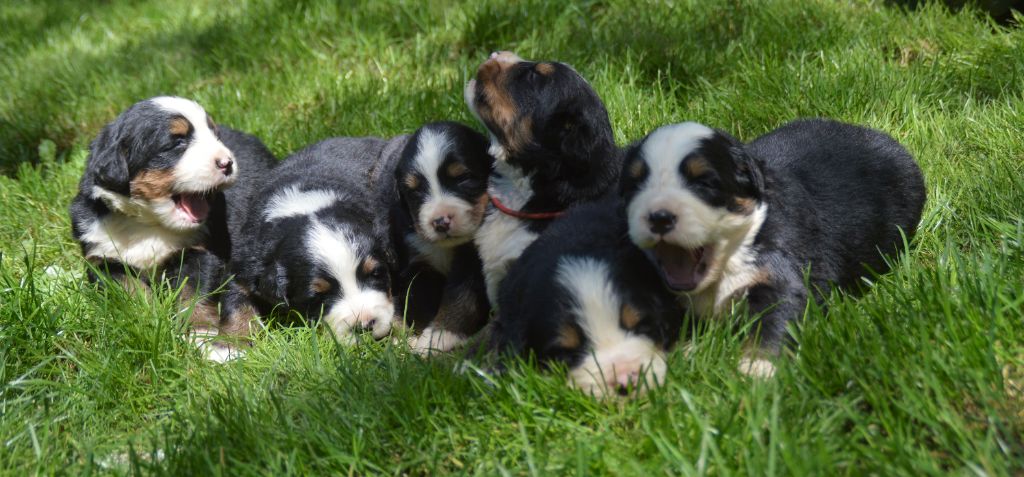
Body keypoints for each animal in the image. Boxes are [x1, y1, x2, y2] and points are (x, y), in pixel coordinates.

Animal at [68, 95, 278, 358]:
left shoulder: (200, 251)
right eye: (178, 142)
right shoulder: (103, 260)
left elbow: (194, 294)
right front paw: (147, 319)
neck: (147, 222)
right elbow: (132, 292)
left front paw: (201, 332)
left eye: (214, 135)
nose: (227, 163)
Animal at [389, 121, 493, 354]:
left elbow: (461, 299)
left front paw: (440, 337)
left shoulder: (471, 262)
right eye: (415, 191)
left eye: (463, 178)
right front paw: (421, 342)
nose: (440, 221)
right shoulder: (419, 266)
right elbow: (422, 303)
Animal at [614, 118, 929, 376]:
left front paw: (757, 370)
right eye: (634, 185)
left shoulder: (779, 276)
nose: (659, 217)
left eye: (704, 183)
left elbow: (773, 321)